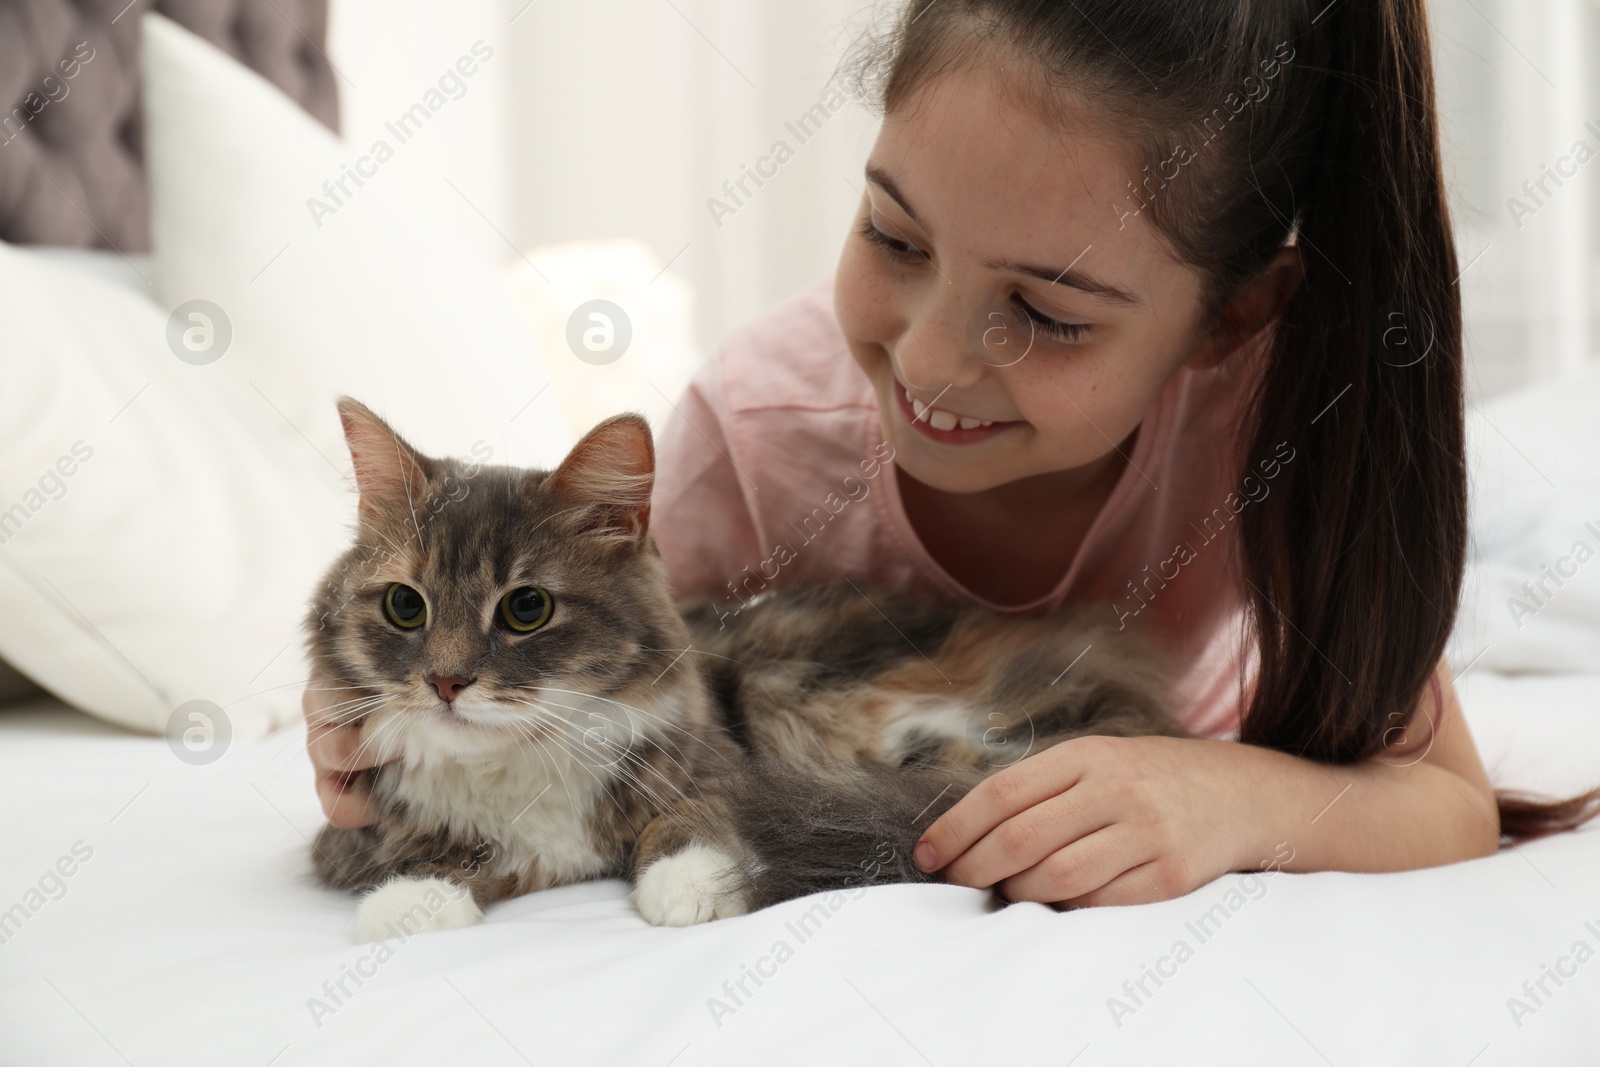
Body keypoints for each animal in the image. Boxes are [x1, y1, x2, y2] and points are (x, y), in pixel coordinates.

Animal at [305, 396, 1184, 940]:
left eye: (526, 609)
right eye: (405, 607)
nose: (447, 682)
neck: (520, 763)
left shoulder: (721, 762)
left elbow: (690, 822)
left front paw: (687, 888)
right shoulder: (353, 826)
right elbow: (429, 849)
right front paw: (412, 903)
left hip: (801, 695)